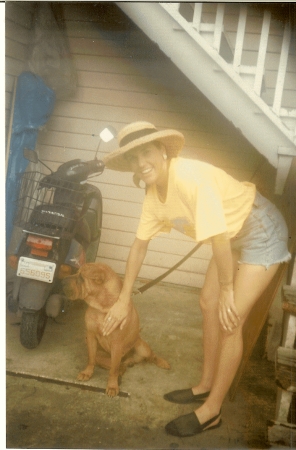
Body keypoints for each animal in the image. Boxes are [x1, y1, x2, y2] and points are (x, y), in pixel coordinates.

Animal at [62, 262, 169, 396]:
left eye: (81, 277)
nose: (61, 281)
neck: (102, 308)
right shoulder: (90, 336)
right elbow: (91, 359)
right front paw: (87, 372)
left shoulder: (117, 344)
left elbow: (113, 369)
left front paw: (112, 386)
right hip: (101, 356)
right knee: (120, 366)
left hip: (141, 347)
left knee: (150, 356)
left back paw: (162, 362)